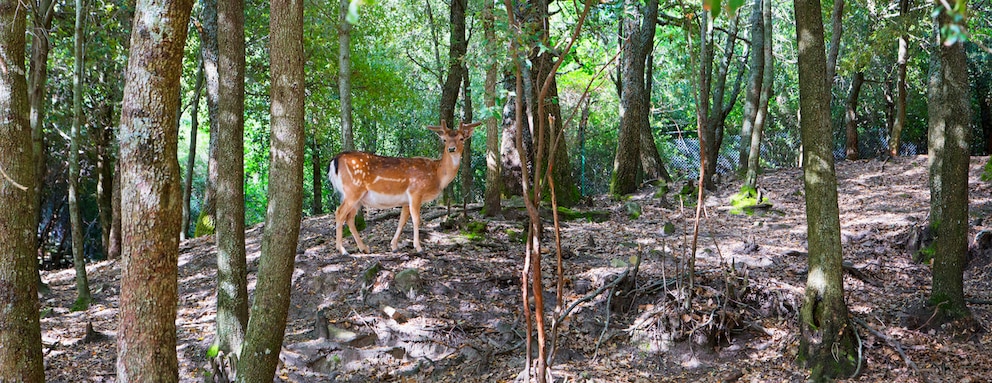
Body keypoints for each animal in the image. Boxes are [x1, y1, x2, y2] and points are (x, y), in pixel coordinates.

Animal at [328, 121, 478, 255]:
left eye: (461, 138)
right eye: (445, 139)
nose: (451, 149)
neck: (437, 175)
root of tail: (335, 159)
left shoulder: (405, 201)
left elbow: (402, 221)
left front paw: (394, 246)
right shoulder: (415, 191)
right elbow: (417, 220)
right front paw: (418, 248)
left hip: (357, 197)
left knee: (349, 218)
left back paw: (364, 248)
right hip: (353, 190)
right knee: (339, 213)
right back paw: (342, 250)